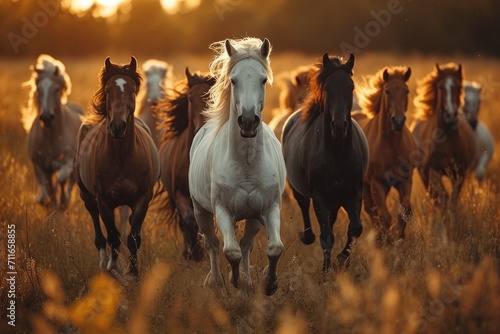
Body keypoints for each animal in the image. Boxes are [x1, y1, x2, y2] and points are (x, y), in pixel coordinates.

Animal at [156, 67, 215, 260]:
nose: (201, 128)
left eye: (212, 97)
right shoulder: (180, 193)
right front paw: (194, 253)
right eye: (189, 98)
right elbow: (189, 222)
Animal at [188, 37, 286, 296]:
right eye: (233, 80)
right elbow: (229, 251)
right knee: (213, 245)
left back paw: (248, 280)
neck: (247, 164)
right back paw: (216, 282)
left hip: (253, 219)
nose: (248, 121)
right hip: (200, 211)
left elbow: (274, 248)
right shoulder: (223, 211)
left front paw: (269, 284)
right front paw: (234, 280)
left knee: (246, 245)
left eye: (263, 79)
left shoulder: (269, 209)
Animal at [284, 53, 370, 270]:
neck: (337, 153)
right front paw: (326, 270)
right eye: (327, 87)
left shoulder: (354, 192)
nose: (339, 127)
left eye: (350, 86)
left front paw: (342, 260)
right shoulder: (319, 196)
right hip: (301, 191)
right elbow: (326, 237)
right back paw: (307, 237)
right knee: (304, 207)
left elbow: (355, 229)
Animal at [354, 66, 416, 243]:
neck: (391, 145)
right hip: (365, 185)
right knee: (371, 210)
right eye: (387, 91)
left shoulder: (405, 180)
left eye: (406, 90)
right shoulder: (377, 182)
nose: (398, 121)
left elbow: (406, 211)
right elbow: (384, 216)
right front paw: (388, 241)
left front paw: (400, 239)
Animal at [410, 63, 476, 206]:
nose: (450, 114)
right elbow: (442, 195)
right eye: (440, 87)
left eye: (459, 86)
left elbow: (453, 198)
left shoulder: (459, 174)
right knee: (434, 196)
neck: (447, 139)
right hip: (424, 174)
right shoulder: (433, 171)